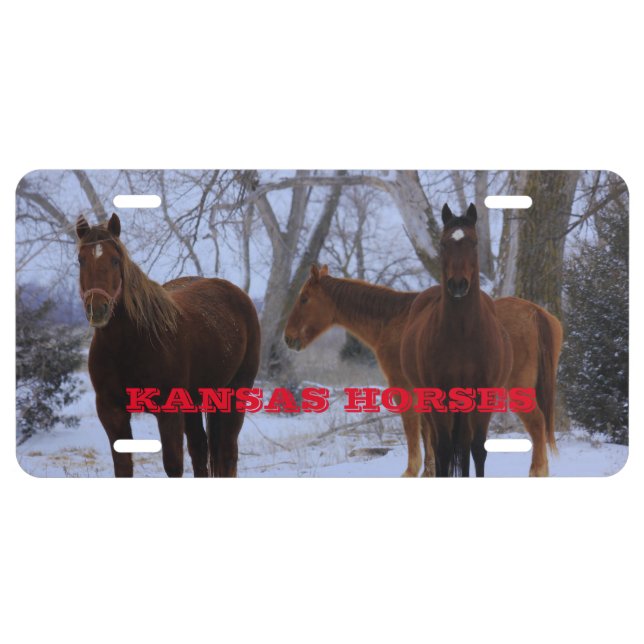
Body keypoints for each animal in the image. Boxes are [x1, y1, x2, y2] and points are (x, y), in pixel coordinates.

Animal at [76, 213, 260, 477]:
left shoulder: (169, 413)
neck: (129, 346)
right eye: (81, 260)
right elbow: (123, 468)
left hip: (235, 392)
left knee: (227, 452)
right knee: (200, 449)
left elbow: (173, 466)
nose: (97, 309)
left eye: (114, 260)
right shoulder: (111, 411)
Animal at [284, 264, 562, 477]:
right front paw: (429, 472)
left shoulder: (404, 388)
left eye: (304, 298)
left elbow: (413, 433)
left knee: (537, 424)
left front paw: (412, 471)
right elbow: (429, 438)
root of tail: (534, 312)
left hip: (517, 389)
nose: (288, 337)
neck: (395, 320)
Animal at [401, 203, 515, 477]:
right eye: (443, 243)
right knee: (439, 445)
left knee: (463, 446)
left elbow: (478, 449)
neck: (463, 335)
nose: (458, 285)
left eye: (473, 242)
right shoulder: (438, 397)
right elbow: (442, 450)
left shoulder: (482, 396)